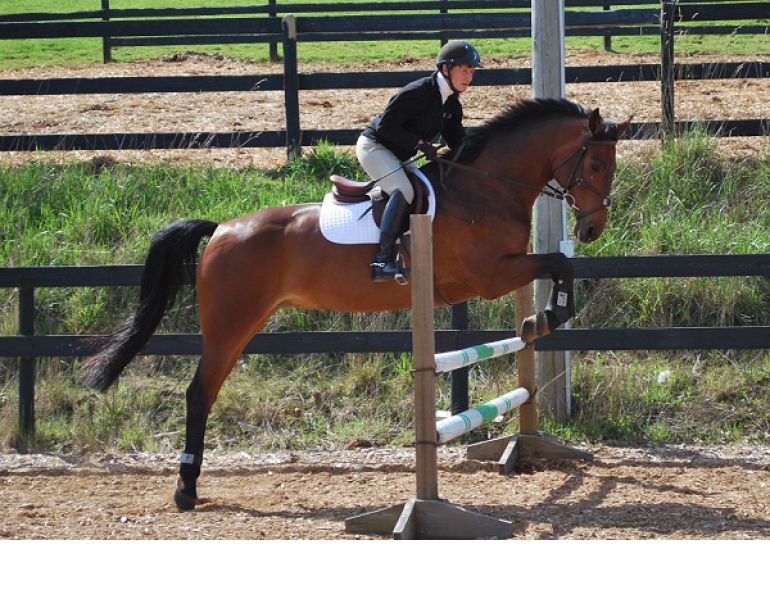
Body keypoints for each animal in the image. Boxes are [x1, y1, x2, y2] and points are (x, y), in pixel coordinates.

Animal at [84, 98, 629, 511]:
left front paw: (541, 319)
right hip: (227, 326)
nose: (592, 228)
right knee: (199, 394)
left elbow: (560, 264)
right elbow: (558, 263)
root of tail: (220, 229)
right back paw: (185, 489)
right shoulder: (491, 275)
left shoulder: (507, 267)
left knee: (207, 392)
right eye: (595, 164)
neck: (487, 187)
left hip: (242, 325)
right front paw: (545, 317)